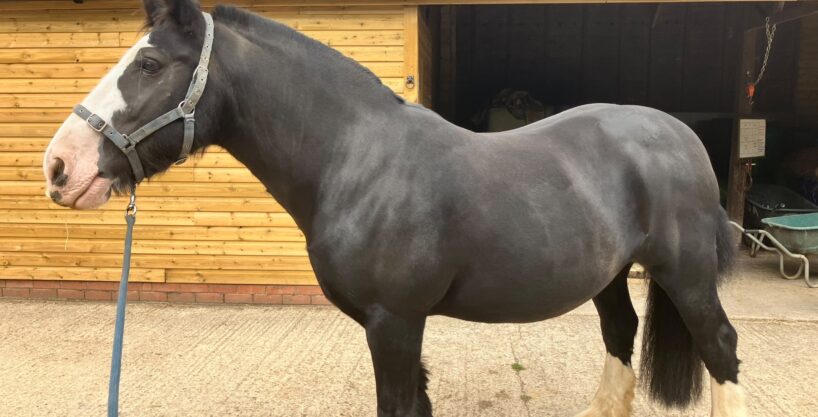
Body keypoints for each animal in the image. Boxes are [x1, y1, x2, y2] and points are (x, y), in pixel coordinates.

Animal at [42, 1, 746, 416]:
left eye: (150, 63)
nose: (59, 167)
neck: (356, 159)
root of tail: (678, 134)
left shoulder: (395, 324)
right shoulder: (393, 328)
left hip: (685, 275)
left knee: (720, 347)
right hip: (609, 274)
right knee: (620, 335)